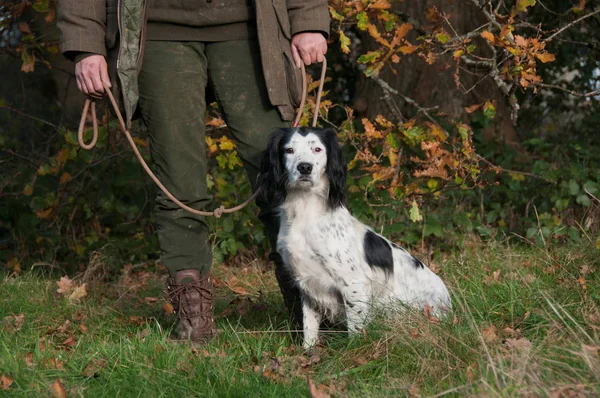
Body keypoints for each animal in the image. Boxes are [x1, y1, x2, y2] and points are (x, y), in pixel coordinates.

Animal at [258, 127, 450, 348]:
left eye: (317, 149)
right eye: (289, 150)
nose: (304, 167)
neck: (305, 212)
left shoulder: (353, 284)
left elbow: (355, 329)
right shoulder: (307, 284)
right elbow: (309, 327)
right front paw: (308, 351)